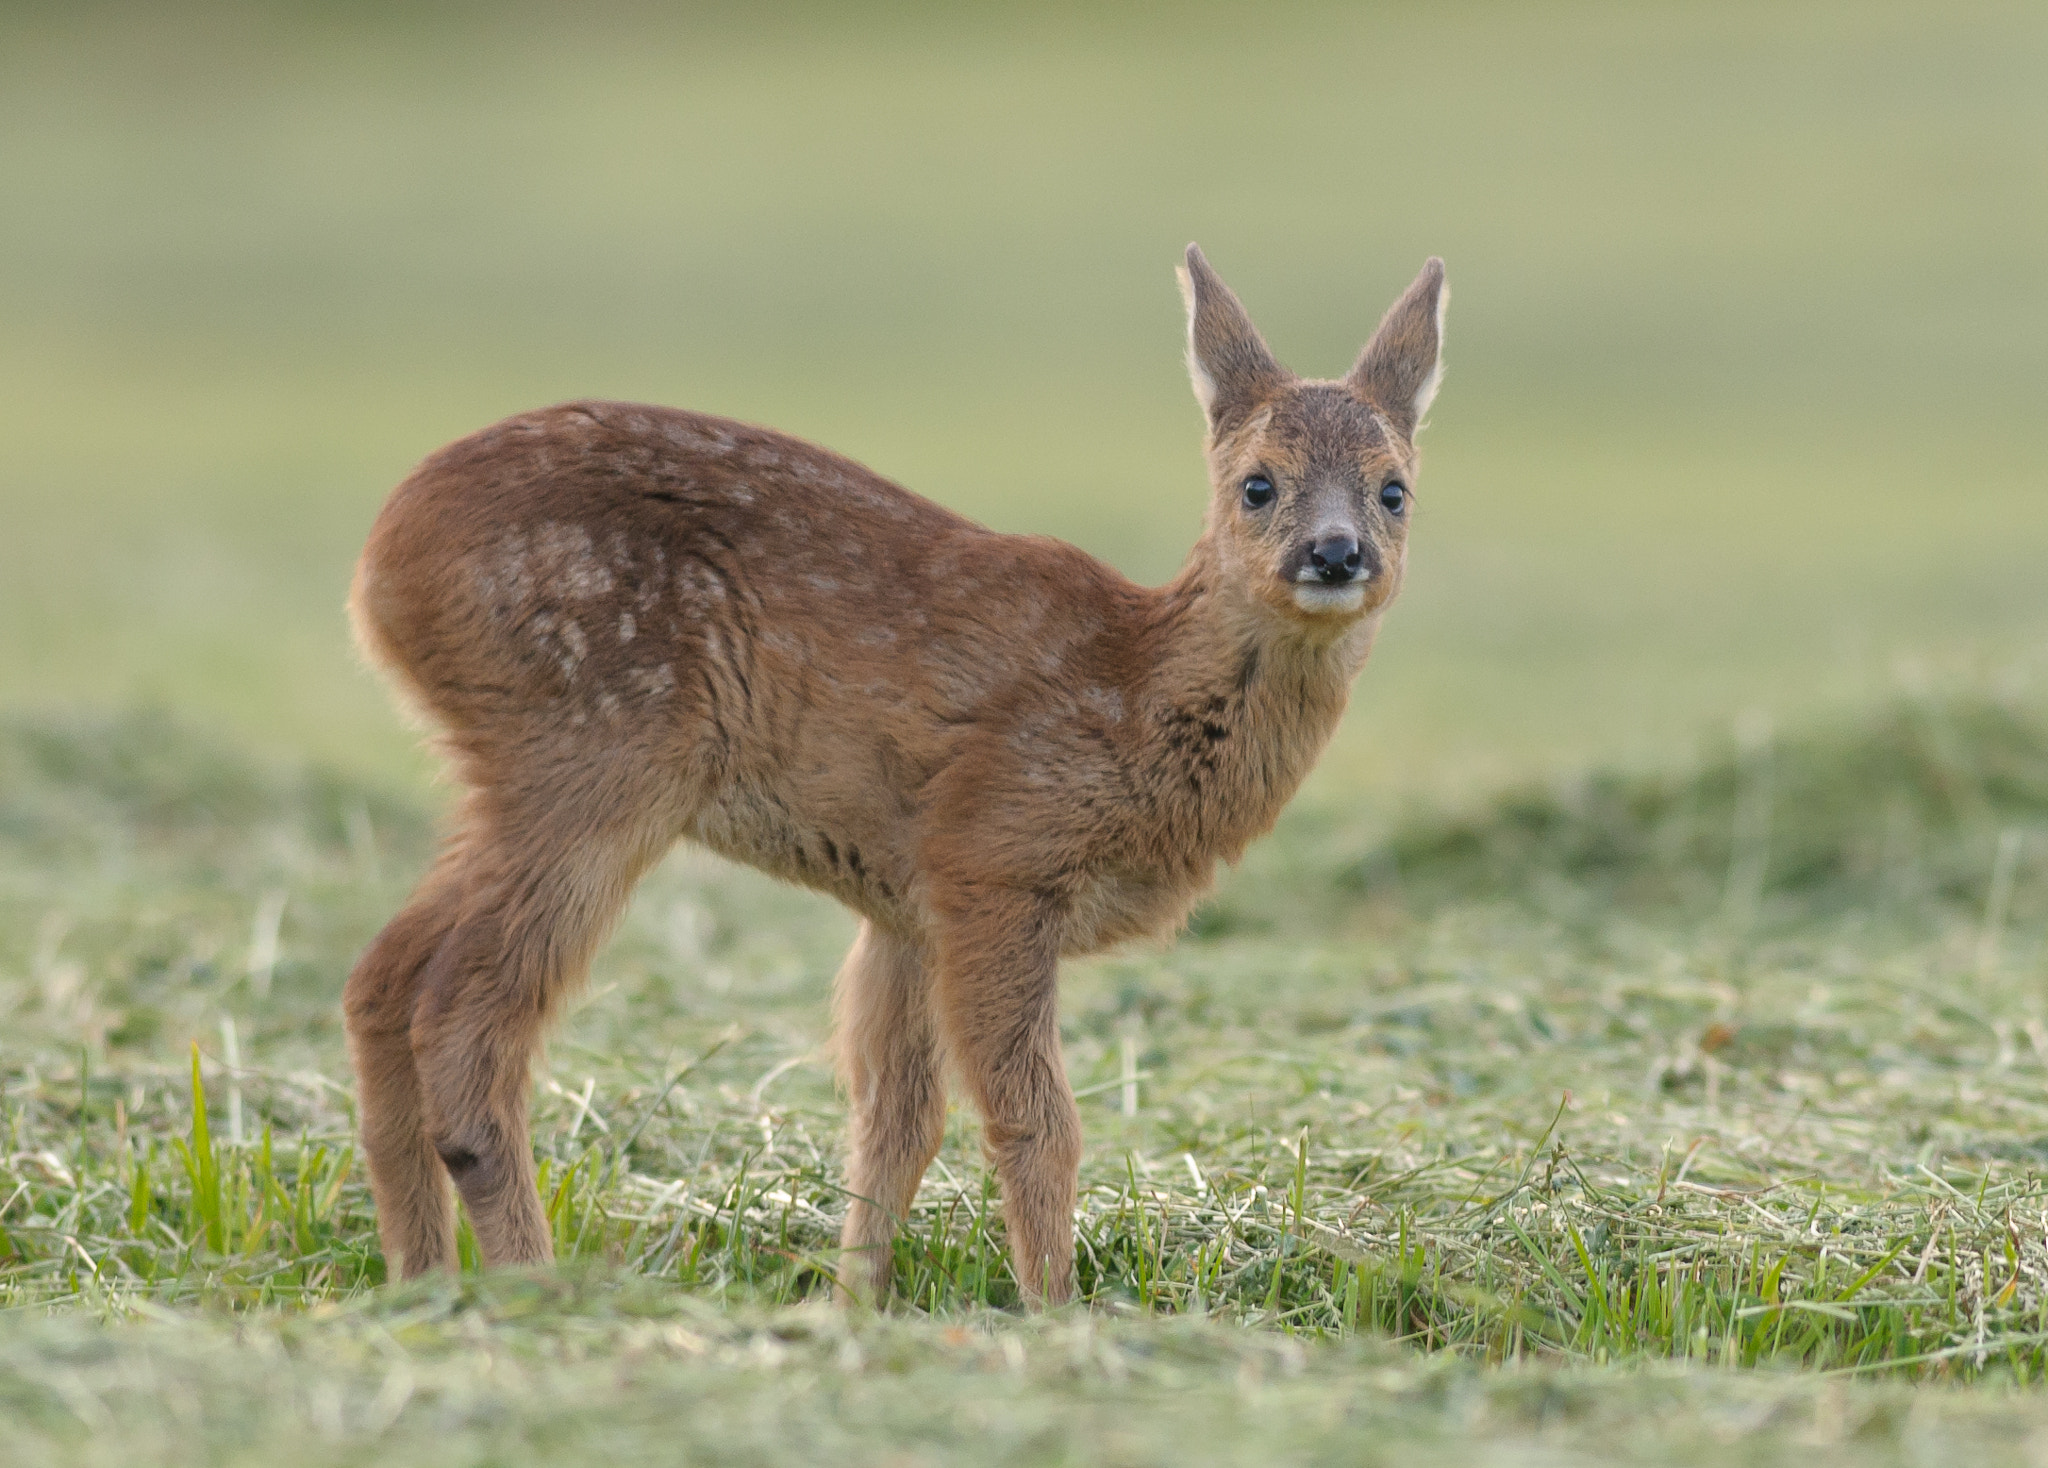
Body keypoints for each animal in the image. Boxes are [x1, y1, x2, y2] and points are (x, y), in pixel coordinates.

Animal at [342, 245, 1446, 1307]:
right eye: (1257, 483)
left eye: (1394, 490)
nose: (1336, 552)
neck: (1134, 694)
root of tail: (377, 562)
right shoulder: (994, 857)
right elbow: (1035, 1121)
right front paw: (1056, 1312)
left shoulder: (905, 905)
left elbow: (896, 1123)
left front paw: (854, 1307)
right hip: (595, 757)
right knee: (464, 1016)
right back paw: (535, 1286)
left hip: (517, 775)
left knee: (381, 976)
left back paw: (419, 1282)